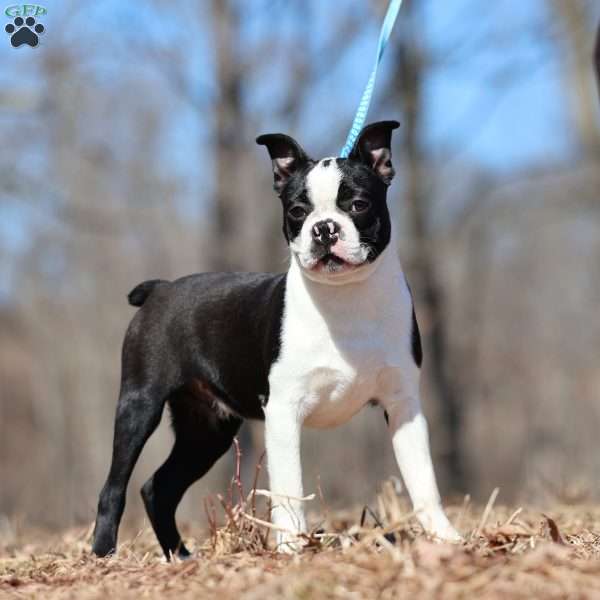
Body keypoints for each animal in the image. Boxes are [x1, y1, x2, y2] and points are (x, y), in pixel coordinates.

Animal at [92, 119, 460, 560]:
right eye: (297, 212)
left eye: (358, 205)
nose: (324, 228)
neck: (345, 298)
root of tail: (160, 289)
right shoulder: (284, 410)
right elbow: (289, 488)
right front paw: (291, 547)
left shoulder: (403, 404)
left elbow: (423, 479)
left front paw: (445, 538)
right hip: (140, 404)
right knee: (115, 486)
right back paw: (104, 555)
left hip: (208, 430)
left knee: (158, 487)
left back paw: (179, 556)